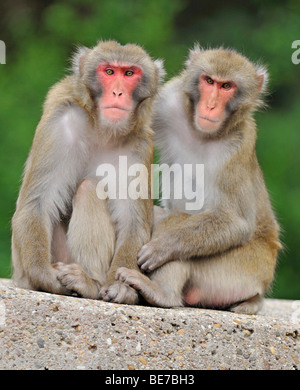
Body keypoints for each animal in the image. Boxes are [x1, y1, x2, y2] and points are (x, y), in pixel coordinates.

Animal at [11, 40, 165, 304]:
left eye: (129, 73)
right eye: (109, 72)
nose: (118, 93)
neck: (103, 130)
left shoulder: (140, 146)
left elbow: (133, 224)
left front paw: (121, 286)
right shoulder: (58, 125)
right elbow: (36, 203)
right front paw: (44, 274)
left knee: (88, 189)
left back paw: (89, 283)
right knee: (88, 188)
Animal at [115, 45, 282, 314]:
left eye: (227, 86)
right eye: (209, 81)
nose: (211, 106)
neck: (203, 134)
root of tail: (260, 288)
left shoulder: (238, 147)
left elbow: (235, 222)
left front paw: (163, 247)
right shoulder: (169, 103)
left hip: (240, 269)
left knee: (177, 221)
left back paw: (162, 293)